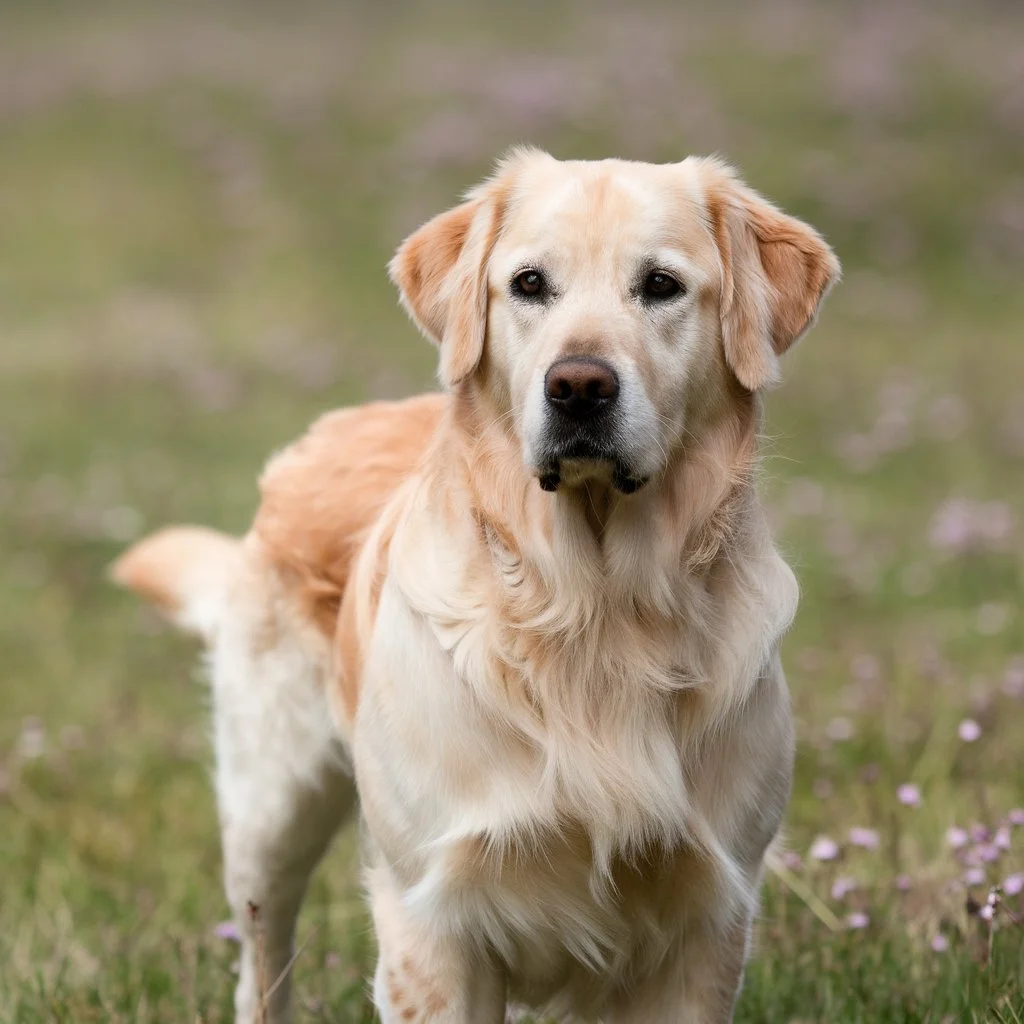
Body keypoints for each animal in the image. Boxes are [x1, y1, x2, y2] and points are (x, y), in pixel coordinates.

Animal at [114, 146, 839, 1024]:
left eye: (661, 284)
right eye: (529, 284)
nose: (579, 387)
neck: (594, 608)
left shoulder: (706, 924)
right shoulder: (433, 918)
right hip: (269, 813)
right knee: (263, 960)